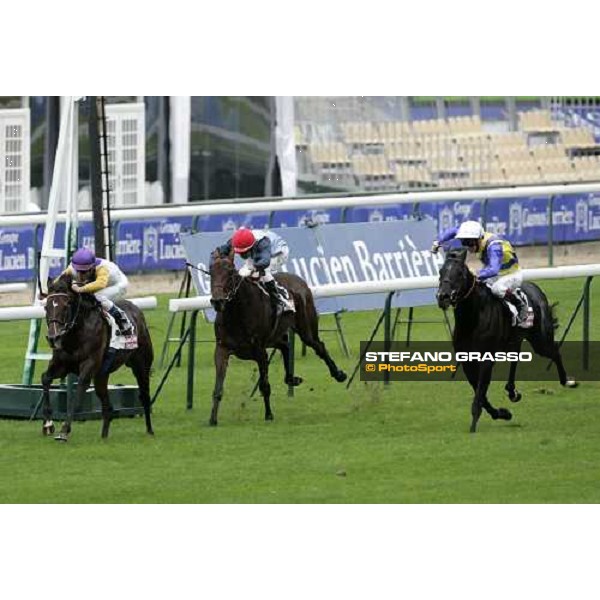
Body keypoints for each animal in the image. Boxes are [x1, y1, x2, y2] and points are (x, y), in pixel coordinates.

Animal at [40, 272, 155, 440]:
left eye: (66, 305)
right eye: (46, 307)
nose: (53, 338)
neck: (76, 334)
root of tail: (137, 311)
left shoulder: (88, 366)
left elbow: (77, 396)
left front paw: (64, 430)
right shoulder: (62, 364)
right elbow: (45, 378)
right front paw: (48, 424)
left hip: (141, 366)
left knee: (145, 397)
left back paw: (150, 430)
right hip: (101, 375)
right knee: (108, 406)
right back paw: (104, 436)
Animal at [209, 248, 346, 426]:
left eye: (230, 272)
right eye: (211, 271)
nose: (217, 301)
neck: (237, 314)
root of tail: (299, 279)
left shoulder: (260, 351)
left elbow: (264, 385)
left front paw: (268, 414)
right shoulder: (222, 349)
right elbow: (218, 387)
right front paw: (212, 418)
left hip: (306, 328)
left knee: (318, 346)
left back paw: (339, 374)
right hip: (275, 336)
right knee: (286, 346)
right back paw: (292, 379)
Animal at [436, 248, 576, 432]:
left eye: (459, 273)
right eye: (440, 272)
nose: (443, 296)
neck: (473, 318)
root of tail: (535, 288)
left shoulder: (486, 359)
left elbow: (480, 391)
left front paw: (474, 426)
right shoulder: (467, 360)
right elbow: (480, 393)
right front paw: (502, 413)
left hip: (540, 340)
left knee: (554, 352)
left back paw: (567, 381)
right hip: (515, 339)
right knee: (516, 357)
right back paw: (512, 391)